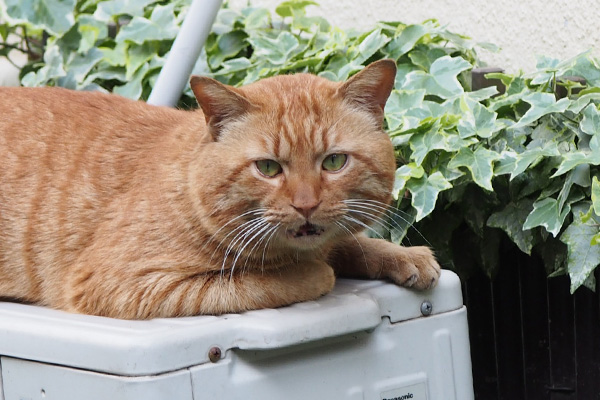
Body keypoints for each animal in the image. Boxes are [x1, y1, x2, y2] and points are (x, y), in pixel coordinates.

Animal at [0, 59, 440, 318]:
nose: (306, 205)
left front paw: (403, 255)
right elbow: (272, 280)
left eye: (334, 162)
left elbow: (348, 242)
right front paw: (315, 272)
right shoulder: (122, 284)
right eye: (268, 167)